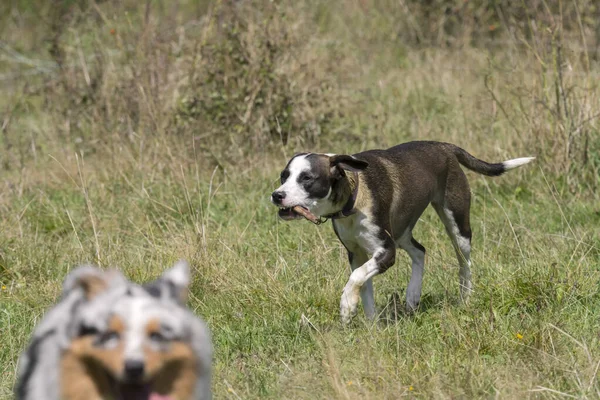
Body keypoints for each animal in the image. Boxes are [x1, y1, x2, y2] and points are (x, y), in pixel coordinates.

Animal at [272, 141, 536, 324]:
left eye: (307, 178)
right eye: (283, 176)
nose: (277, 195)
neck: (353, 196)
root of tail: (444, 146)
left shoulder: (386, 252)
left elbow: (356, 277)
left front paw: (347, 305)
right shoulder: (357, 254)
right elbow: (364, 286)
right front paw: (371, 325)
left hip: (457, 226)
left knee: (465, 264)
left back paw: (465, 299)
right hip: (401, 230)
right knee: (420, 251)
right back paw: (412, 295)